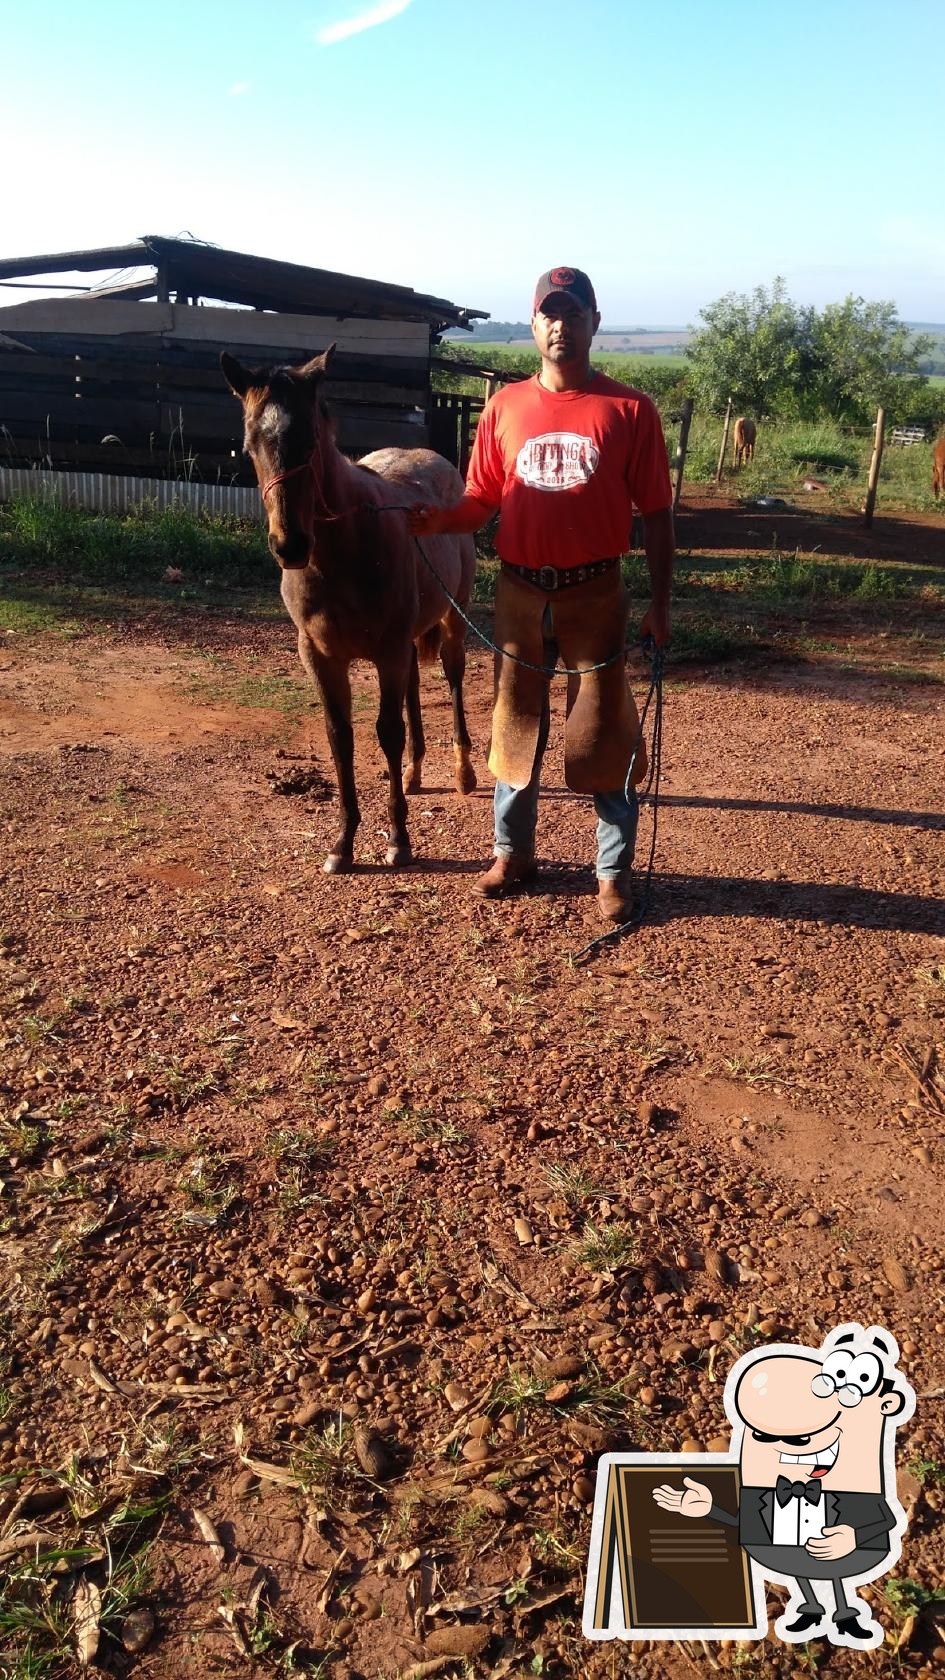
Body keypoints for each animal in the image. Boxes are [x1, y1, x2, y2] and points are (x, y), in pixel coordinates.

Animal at [216, 341, 474, 873]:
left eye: (312, 441)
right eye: (251, 446)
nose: (290, 545)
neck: (345, 552)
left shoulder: (388, 651)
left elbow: (387, 731)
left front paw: (398, 839)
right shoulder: (321, 656)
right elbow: (341, 737)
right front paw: (343, 842)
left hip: (451, 621)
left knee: (453, 679)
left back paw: (463, 772)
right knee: (415, 686)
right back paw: (415, 771)